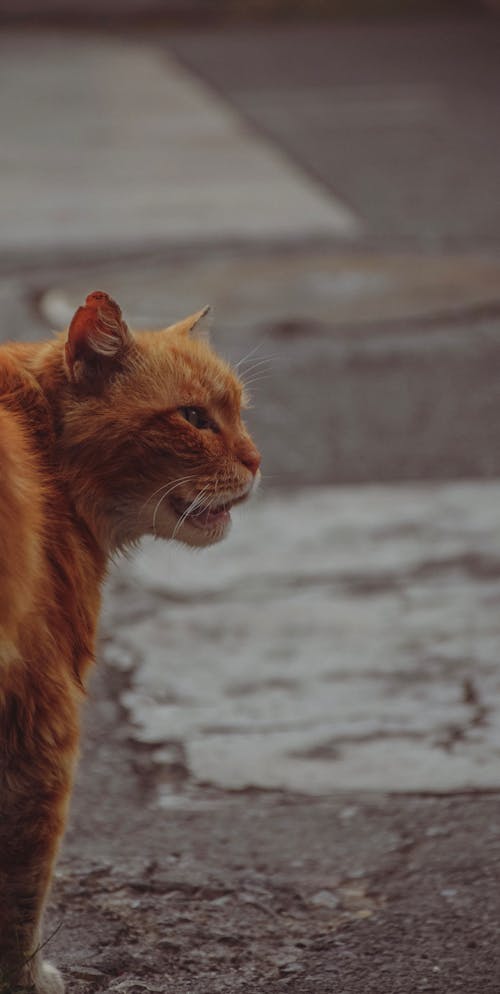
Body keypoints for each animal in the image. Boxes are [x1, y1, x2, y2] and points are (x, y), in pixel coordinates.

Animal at [0, 290, 262, 988]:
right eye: (195, 418)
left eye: (239, 412)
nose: (257, 461)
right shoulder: (41, 727)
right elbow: (22, 890)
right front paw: (28, 981)